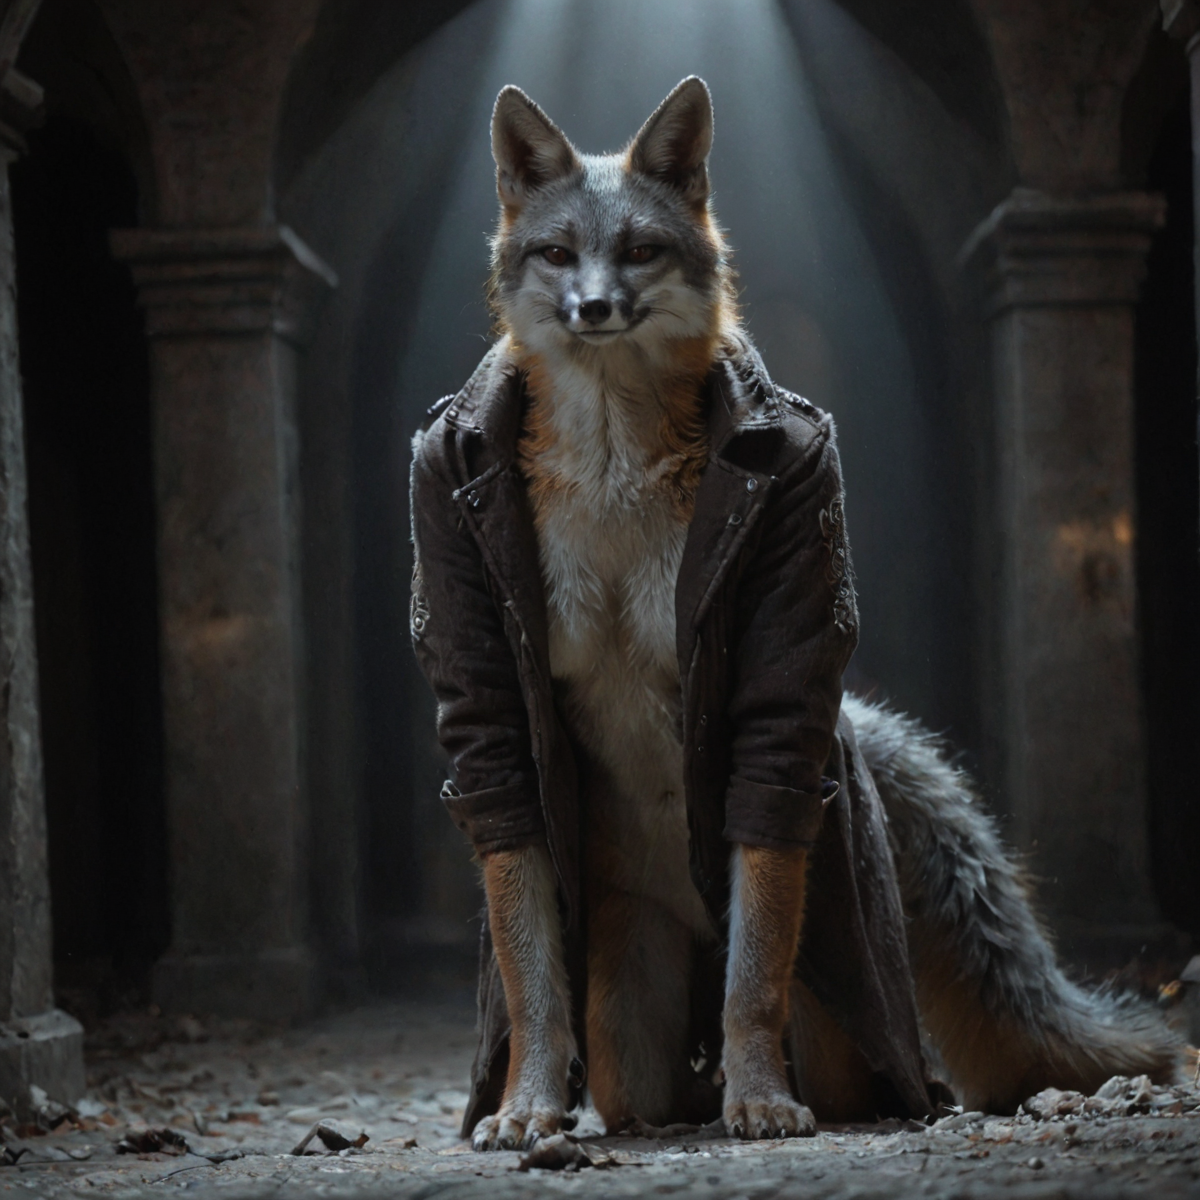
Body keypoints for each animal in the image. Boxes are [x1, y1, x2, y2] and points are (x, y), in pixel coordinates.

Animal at [410, 76, 1181, 1152]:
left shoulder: (770, 713)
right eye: (559, 253)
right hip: (633, 1034)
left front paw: (759, 1094)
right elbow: (531, 977)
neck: (612, 476)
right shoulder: (493, 711)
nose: (594, 306)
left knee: (820, 1046)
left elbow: (753, 983)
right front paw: (527, 1101)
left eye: (639, 250)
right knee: (646, 1089)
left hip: (824, 1001)